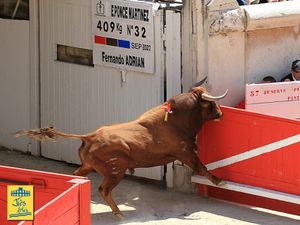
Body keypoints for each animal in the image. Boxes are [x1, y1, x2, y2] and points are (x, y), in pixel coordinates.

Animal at [15, 86, 227, 220]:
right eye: (210, 104)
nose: (220, 114)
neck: (175, 122)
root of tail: (90, 136)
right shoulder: (185, 153)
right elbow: (201, 167)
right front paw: (219, 181)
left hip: (88, 166)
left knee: (78, 174)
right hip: (115, 171)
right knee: (104, 189)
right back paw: (118, 212)